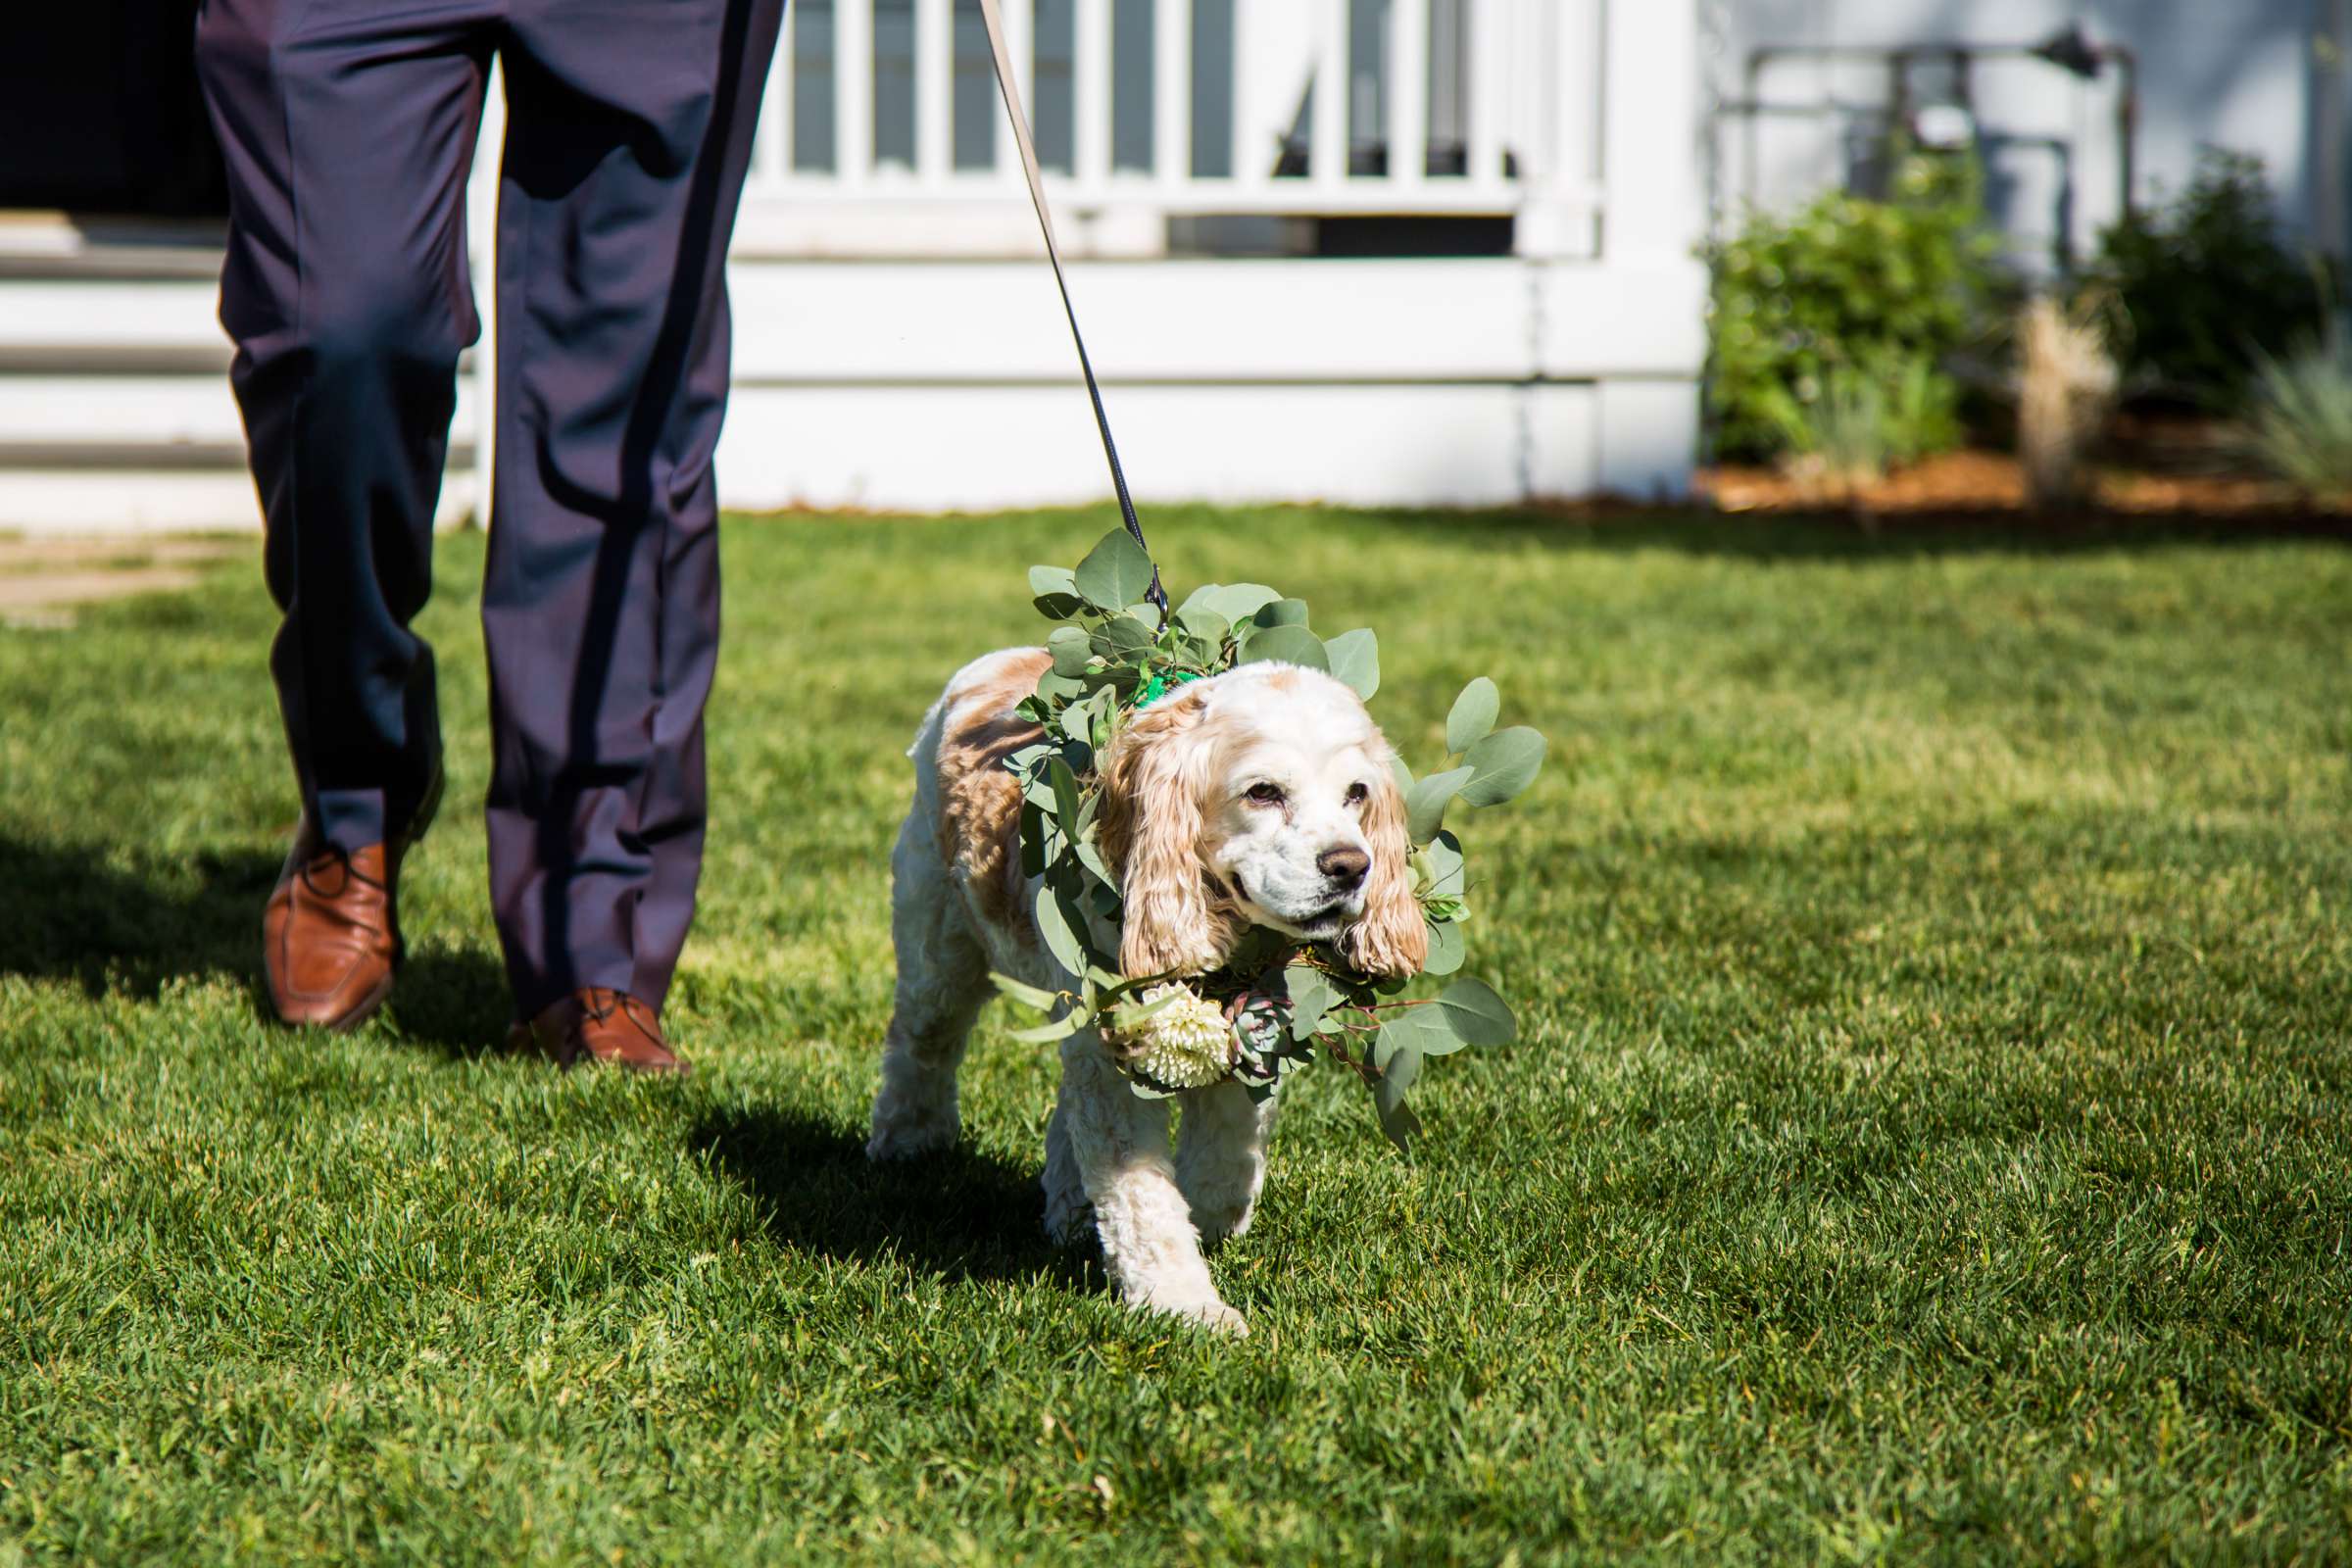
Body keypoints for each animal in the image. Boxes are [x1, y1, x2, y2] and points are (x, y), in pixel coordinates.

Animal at [860, 649, 1411, 1335]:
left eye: (1356, 794)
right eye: (1262, 792)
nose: (1351, 866)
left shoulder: (1252, 1017)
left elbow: (1227, 1148)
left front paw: (1211, 1217)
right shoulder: (1116, 1036)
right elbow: (1140, 1193)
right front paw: (1187, 1305)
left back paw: (1069, 1207)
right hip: (939, 942)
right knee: (921, 1044)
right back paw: (907, 1145)